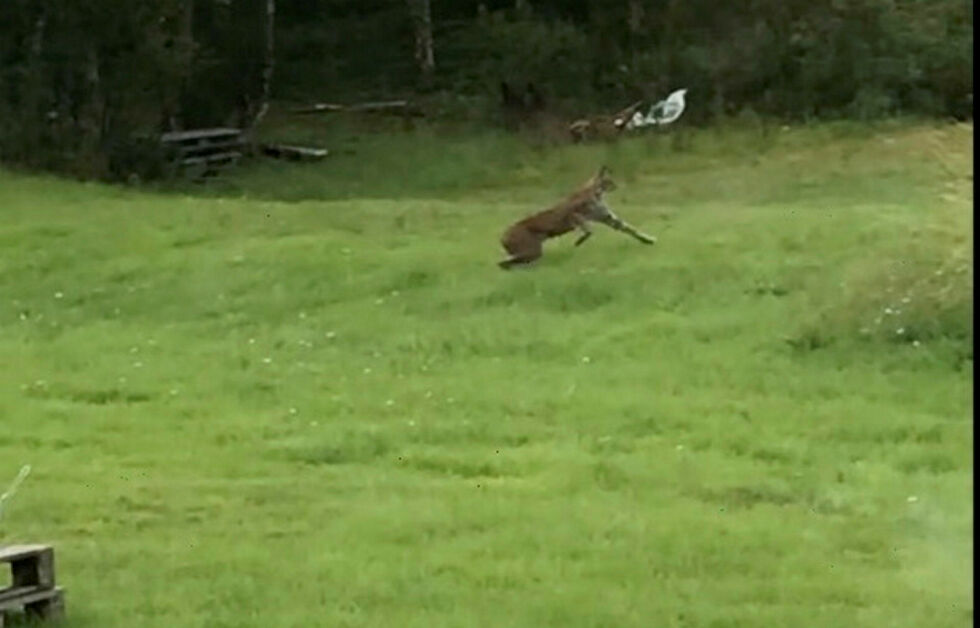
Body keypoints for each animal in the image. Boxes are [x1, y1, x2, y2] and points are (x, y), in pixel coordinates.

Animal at [502, 164, 656, 270]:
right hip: (531, 250)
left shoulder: (606, 217)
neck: (597, 193)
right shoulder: (574, 214)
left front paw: (648, 240)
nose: (616, 186)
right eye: (608, 181)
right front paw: (579, 241)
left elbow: (630, 229)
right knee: (505, 263)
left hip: (532, 252)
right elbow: (589, 228)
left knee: (509, 263)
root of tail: (502, 236)